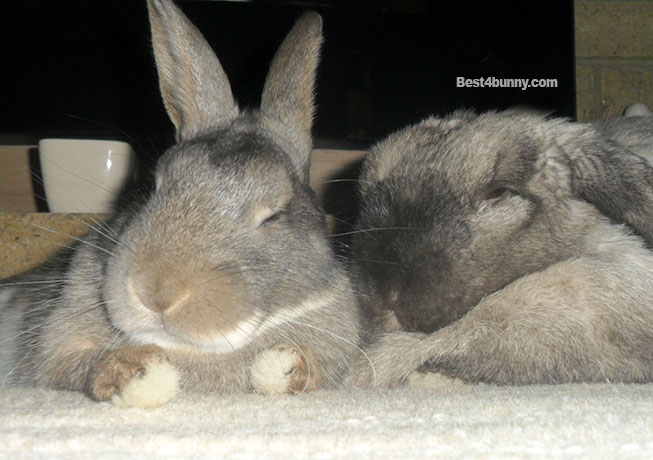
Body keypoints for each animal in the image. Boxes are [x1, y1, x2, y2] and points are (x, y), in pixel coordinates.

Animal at [0, 0, 360, 407]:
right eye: (156, 185)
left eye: (275, 215)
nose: (156, 293)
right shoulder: (59, 343)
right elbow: (79, 364)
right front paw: (133, 370)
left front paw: (290, 367)